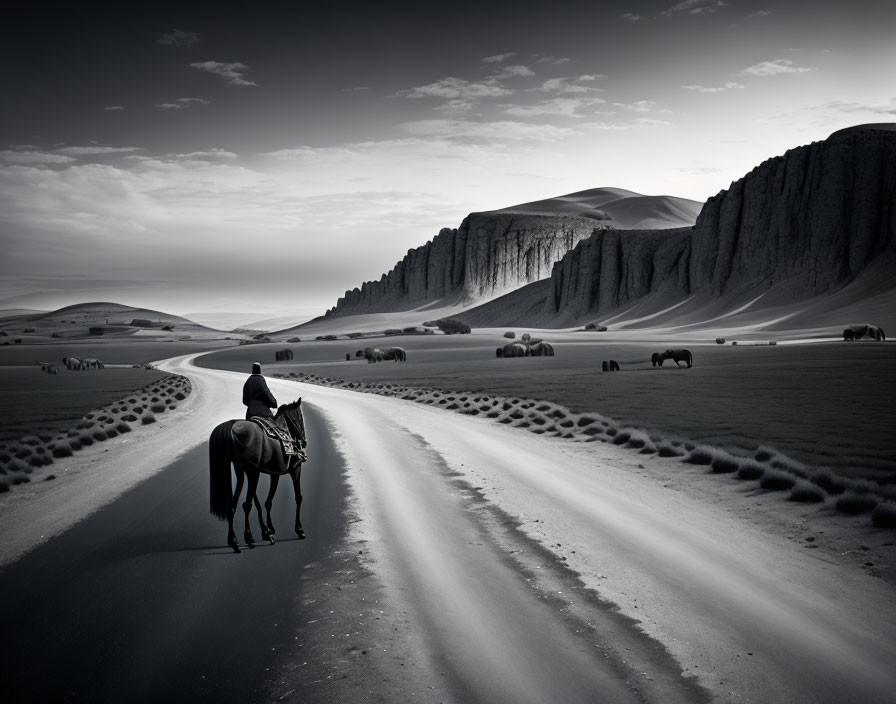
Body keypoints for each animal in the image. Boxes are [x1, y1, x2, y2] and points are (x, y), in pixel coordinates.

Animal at [209, 398, 308, 552]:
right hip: (252, 472)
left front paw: (269, 530)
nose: (303, 442)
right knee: (246, 504)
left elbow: (267, 501)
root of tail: (232, 426)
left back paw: (234, 542)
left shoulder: (275, 474)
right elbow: (298, 497)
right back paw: (249, 538)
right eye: (299, 417)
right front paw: (299, 529)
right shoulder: (296, 469)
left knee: (233, 505)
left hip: (242, 471)